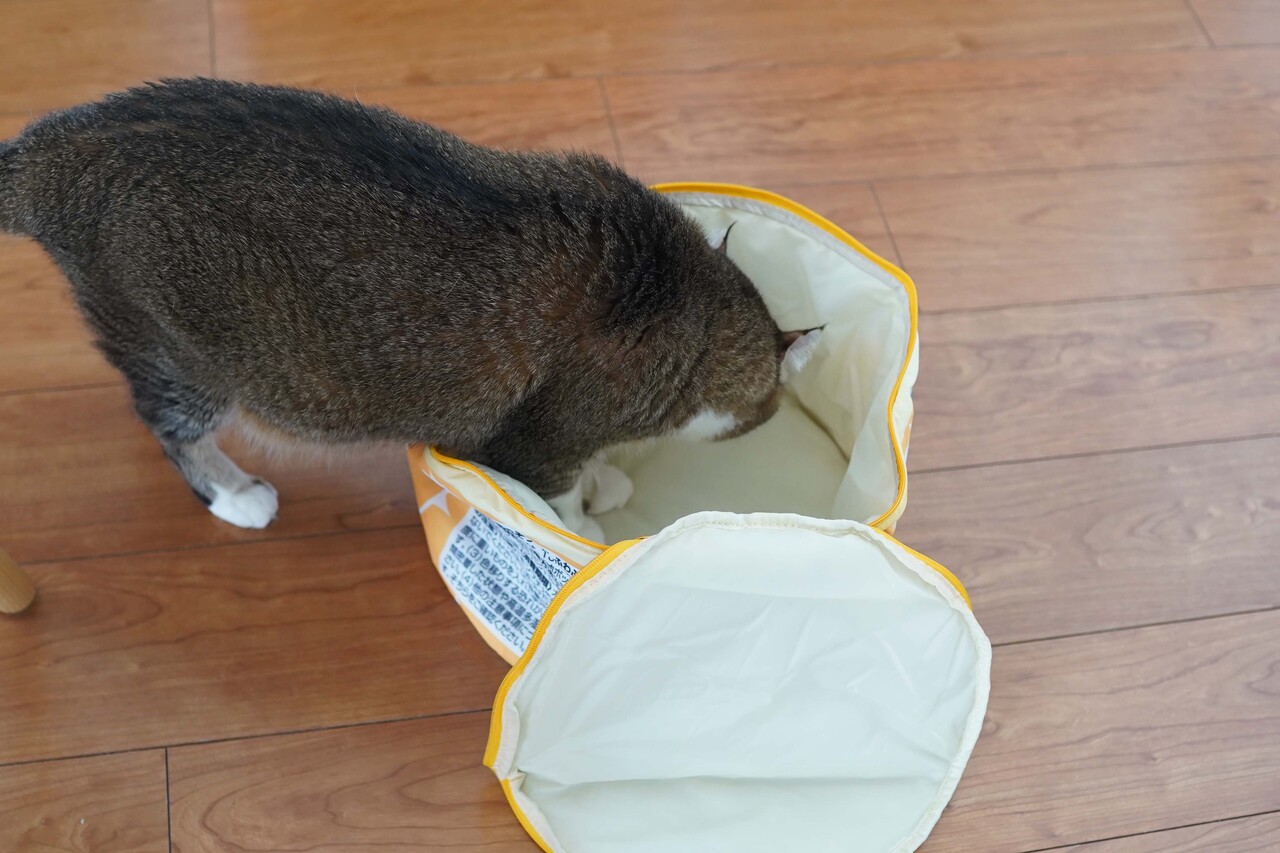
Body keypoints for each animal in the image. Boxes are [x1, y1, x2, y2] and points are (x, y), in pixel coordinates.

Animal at [0, 79, 819, 540]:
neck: (686, 303)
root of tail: (52, 147)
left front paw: (607, 481)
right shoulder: (539, 444)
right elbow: (556, 495)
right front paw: (585, 515)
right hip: (180, 356)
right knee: (171, 428)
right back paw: (235, 495)